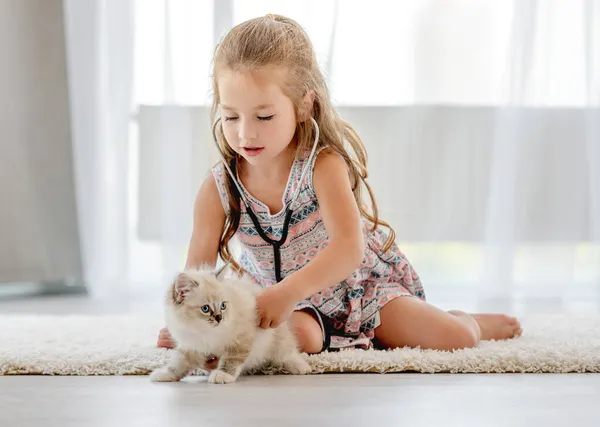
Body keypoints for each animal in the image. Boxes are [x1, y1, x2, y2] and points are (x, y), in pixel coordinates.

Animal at [150, 268, 312, 384]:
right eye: (205, 309)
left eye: (223, 306)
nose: (220, 318)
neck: (204, 332)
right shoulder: (192, 345)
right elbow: (178, 363)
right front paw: (165, 374)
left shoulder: (239, 340)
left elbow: (230, 360)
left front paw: (222, 375)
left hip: (277, 340)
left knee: (288, 352)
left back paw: (302, 368)